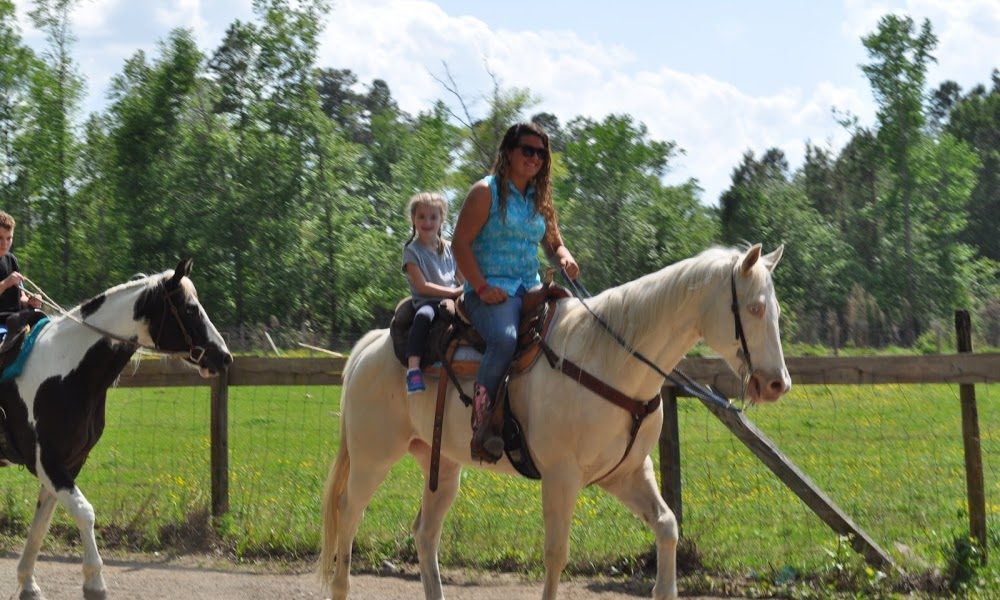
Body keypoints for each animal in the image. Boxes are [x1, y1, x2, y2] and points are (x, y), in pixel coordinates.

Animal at [0, 258, 229, 600]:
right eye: (189, 308)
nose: (224, 357)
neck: (65, 369)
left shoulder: (69, 463)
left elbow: (42, 522)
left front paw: (28, 582)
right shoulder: (46, 462)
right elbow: (85, 512)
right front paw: (94, 581)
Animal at [320, 244, 788, 600]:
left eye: (777, 311)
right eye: (754, 307)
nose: (776, 384)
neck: (610, 358)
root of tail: (371, 346)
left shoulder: (627, 473)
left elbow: (668, 526)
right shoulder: (561, 476)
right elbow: (556, 554)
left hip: (443, 468)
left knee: (424, 533)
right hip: (372, 460)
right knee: (348, 515)